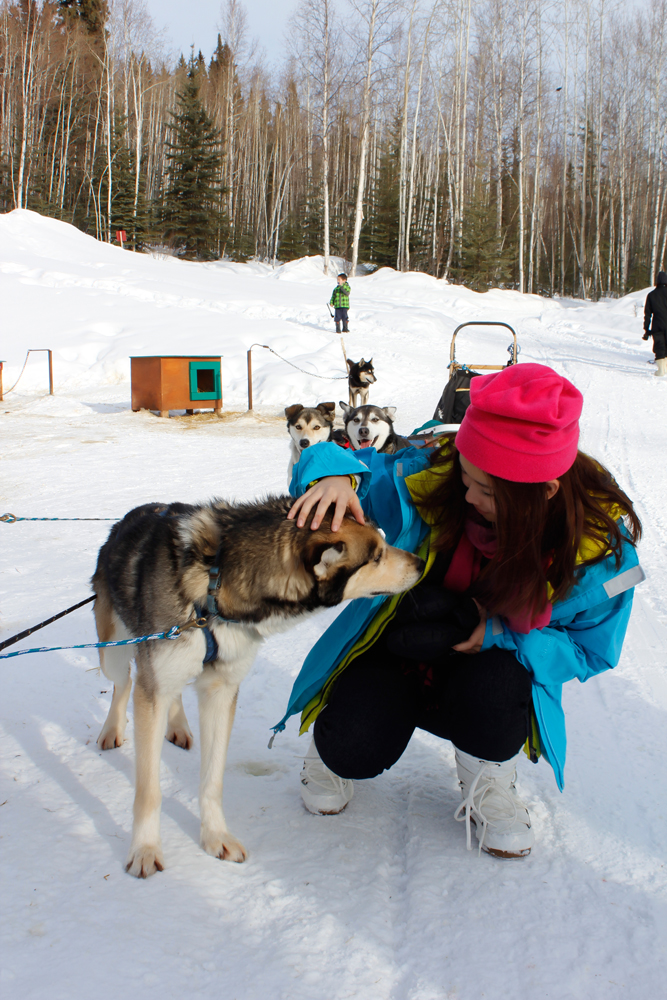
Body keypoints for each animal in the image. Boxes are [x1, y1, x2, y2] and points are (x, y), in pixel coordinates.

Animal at [91, 498, 422, 876]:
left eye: (383, 544)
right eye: (377, 556)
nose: (420, 562)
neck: (215, 585)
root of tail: (128, 518)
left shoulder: (221, 690)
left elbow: (212, 780)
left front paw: (216, 837)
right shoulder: (156, 686)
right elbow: (149, 790)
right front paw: (145, 850)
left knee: (170, 693)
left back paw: (177, 726)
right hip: (115, 654)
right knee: (126, 683)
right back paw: (112, 730)